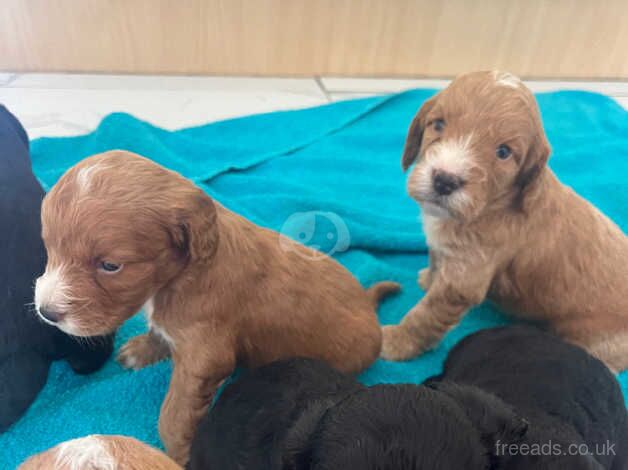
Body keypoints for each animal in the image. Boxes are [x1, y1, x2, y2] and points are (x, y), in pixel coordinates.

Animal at [34, 150, 398, 462]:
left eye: (110, 266)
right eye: (48, 247)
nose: (46, 312)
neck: (180, 274)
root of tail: (370, 306)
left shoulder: (205, 356)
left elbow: (173, 413)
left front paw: (179, 453)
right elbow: (158, 330)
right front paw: (143, 349)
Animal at [380, 70, 628, 370]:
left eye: (503, 152)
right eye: (438, 124)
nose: (444, 180)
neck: (493, 204)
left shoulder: (463, 280)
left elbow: (425, 316)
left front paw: (395, 342)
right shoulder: (446, 252)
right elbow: (436, 261)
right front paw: (428, 279)